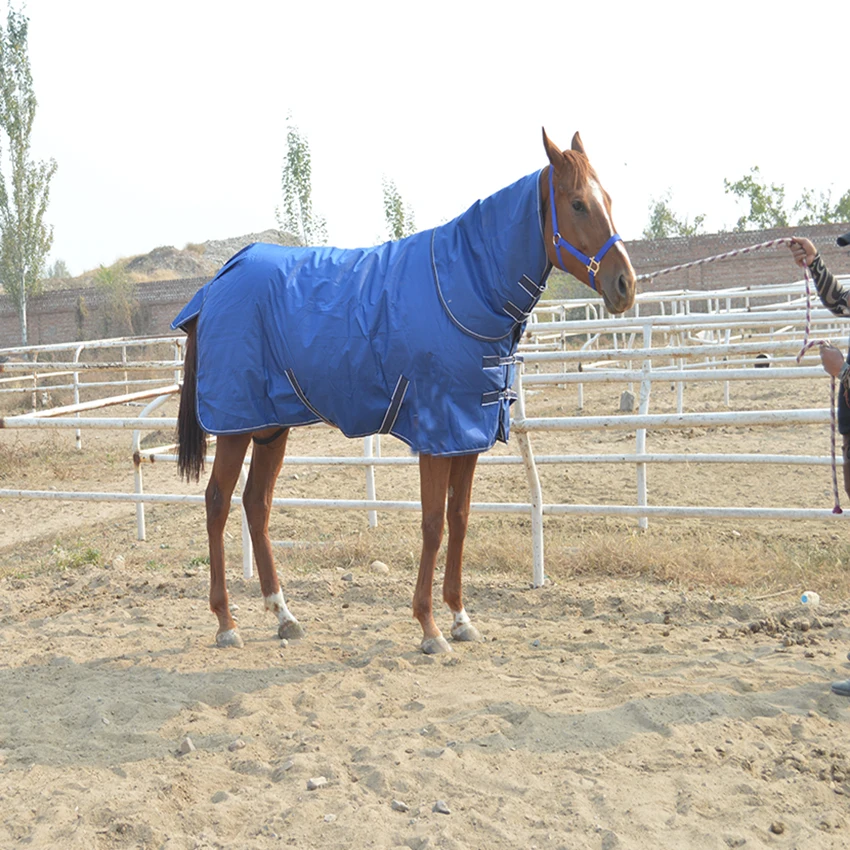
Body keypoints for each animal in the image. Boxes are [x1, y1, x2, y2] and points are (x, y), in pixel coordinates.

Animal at [173, 129, 637, 652]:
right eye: (578, 204)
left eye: (608, 200)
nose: (625, 284)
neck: (463, 287)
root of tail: (217, 284)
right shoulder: (436, 436)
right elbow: (433, 524)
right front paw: (430, 627)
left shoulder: (466, 437)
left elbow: (459, 520)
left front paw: (460, 617)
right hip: (235, 427)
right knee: (217, 503)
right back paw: (226, 622)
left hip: (271, 426)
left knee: (257, 504)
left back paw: (283, 615)